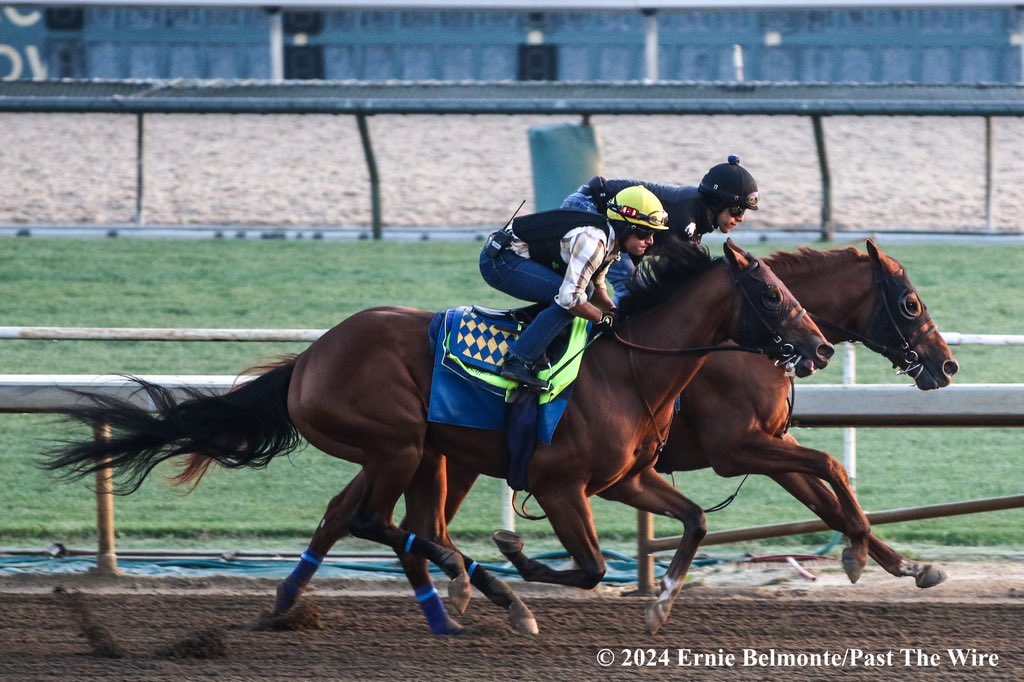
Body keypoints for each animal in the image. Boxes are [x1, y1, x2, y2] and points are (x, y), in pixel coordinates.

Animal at [44, 238, 835, 630]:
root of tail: (311, 357)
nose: (820, 347)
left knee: (365, 517)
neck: (631, 368)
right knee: (383, 521)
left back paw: (320, 605)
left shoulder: (627, 478)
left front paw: (662, 601)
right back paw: (481, 590)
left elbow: (694, 520)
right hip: (397, 443)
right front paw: (519, 565)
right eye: (772, 296)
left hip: (418, 453)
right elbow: (585, 568)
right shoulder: (560, 484)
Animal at [270, 238, 950, 630]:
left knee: (364, 517)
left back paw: (302, 605)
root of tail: (310, 357)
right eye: (911, 304)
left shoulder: (750, 451)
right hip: (404, 447)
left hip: (421, 455)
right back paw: (471, 594)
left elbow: (823, 496)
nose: (946, 367)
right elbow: (830, 469)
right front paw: (869, 557)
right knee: (386, 522)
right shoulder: (735, 449)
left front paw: (903, 563)